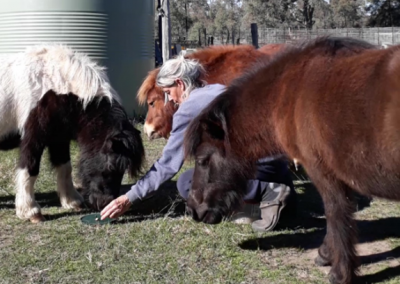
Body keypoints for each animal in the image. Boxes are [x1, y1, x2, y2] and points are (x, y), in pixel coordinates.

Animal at [0, 44, 144, 223]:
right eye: (111, 166)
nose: (104, 203)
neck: (54, 86)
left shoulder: (59, 138)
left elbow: (64, 167)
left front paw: (72, 201)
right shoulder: (33, 138)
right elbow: (30, 169)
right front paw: (30, 211)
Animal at [182, 36, 384, 282]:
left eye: (202, 160)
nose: (192, 210)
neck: (290, 97)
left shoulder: (326, 173)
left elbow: (336, 213)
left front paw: (338, 270)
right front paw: (327, 254)